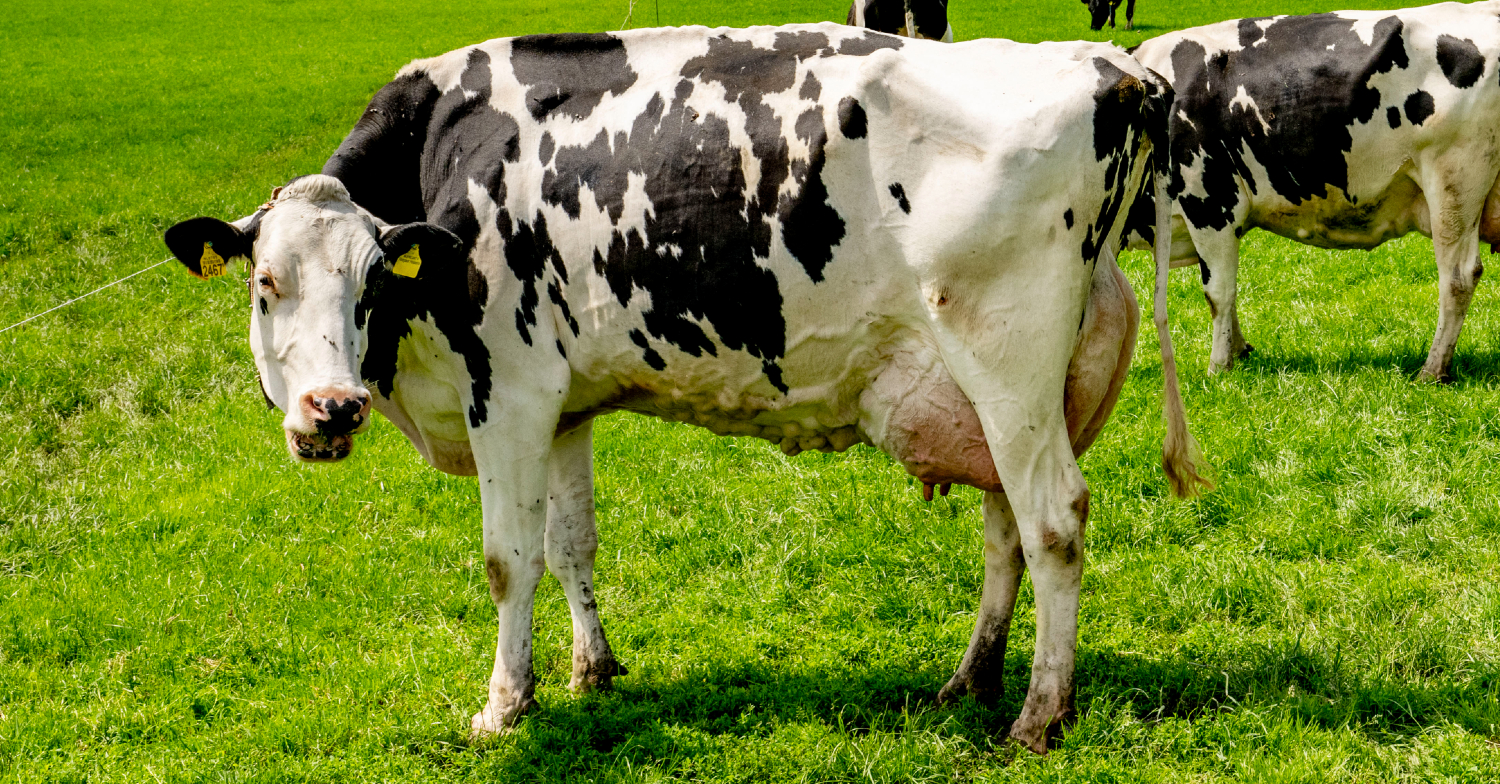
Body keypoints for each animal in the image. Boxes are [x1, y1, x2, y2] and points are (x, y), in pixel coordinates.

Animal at [162, 23, 1207, 754]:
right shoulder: (563, 406)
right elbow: (571, 545)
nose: (329, 410)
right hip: (1004, 387)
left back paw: (1039, 713)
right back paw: (970, 680)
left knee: (1054, 522)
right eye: (267, 284)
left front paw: (503, 706)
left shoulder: (506, 393)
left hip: (1006, 354)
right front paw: (590, 671)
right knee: (1007, 532)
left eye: (373, 282)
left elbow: (509, 560)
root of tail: (1114, 69)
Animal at [1130, 3, 1500, 381]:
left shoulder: (1210, 201)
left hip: (1453, 181)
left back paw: (1433, 369)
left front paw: (1218, 368)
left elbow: (1218, 291)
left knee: (1458, 277)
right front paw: (1240, 349)